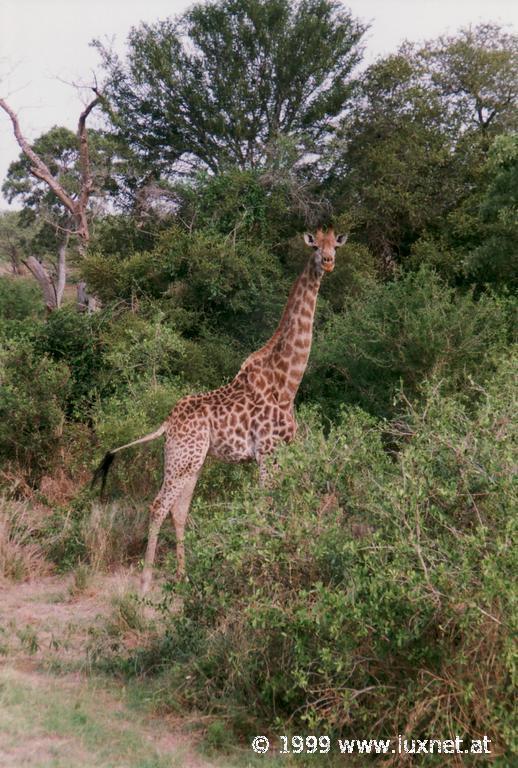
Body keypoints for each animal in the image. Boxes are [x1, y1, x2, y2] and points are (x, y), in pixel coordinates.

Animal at [92, 225, 350, 592]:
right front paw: (257, 569)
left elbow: (283, 503)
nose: (328, 262)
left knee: (178, 510)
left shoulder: (283, 452)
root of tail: (167, 422)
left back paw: (183, 576)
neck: (287, 383)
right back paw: (145, 581)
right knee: (158, 506)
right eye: (315, 247)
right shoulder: (266, 452)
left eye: (335, 247)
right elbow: (263, 506)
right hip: (183, 460)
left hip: (189, 461)